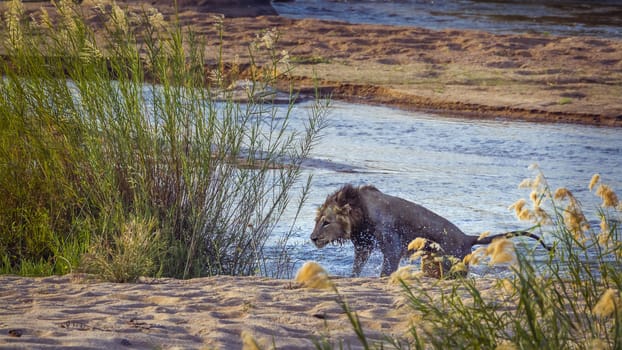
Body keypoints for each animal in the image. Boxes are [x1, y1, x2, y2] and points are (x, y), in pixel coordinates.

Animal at [310, 185, 552, 278]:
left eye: (326, 222)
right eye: (317, 221)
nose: (312, 238)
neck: (360, 212)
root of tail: (467, 238)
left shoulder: (391, 240)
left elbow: (387, 267)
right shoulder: (363, 244)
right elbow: (357, 267)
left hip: (452, 264)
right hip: (431, 263)